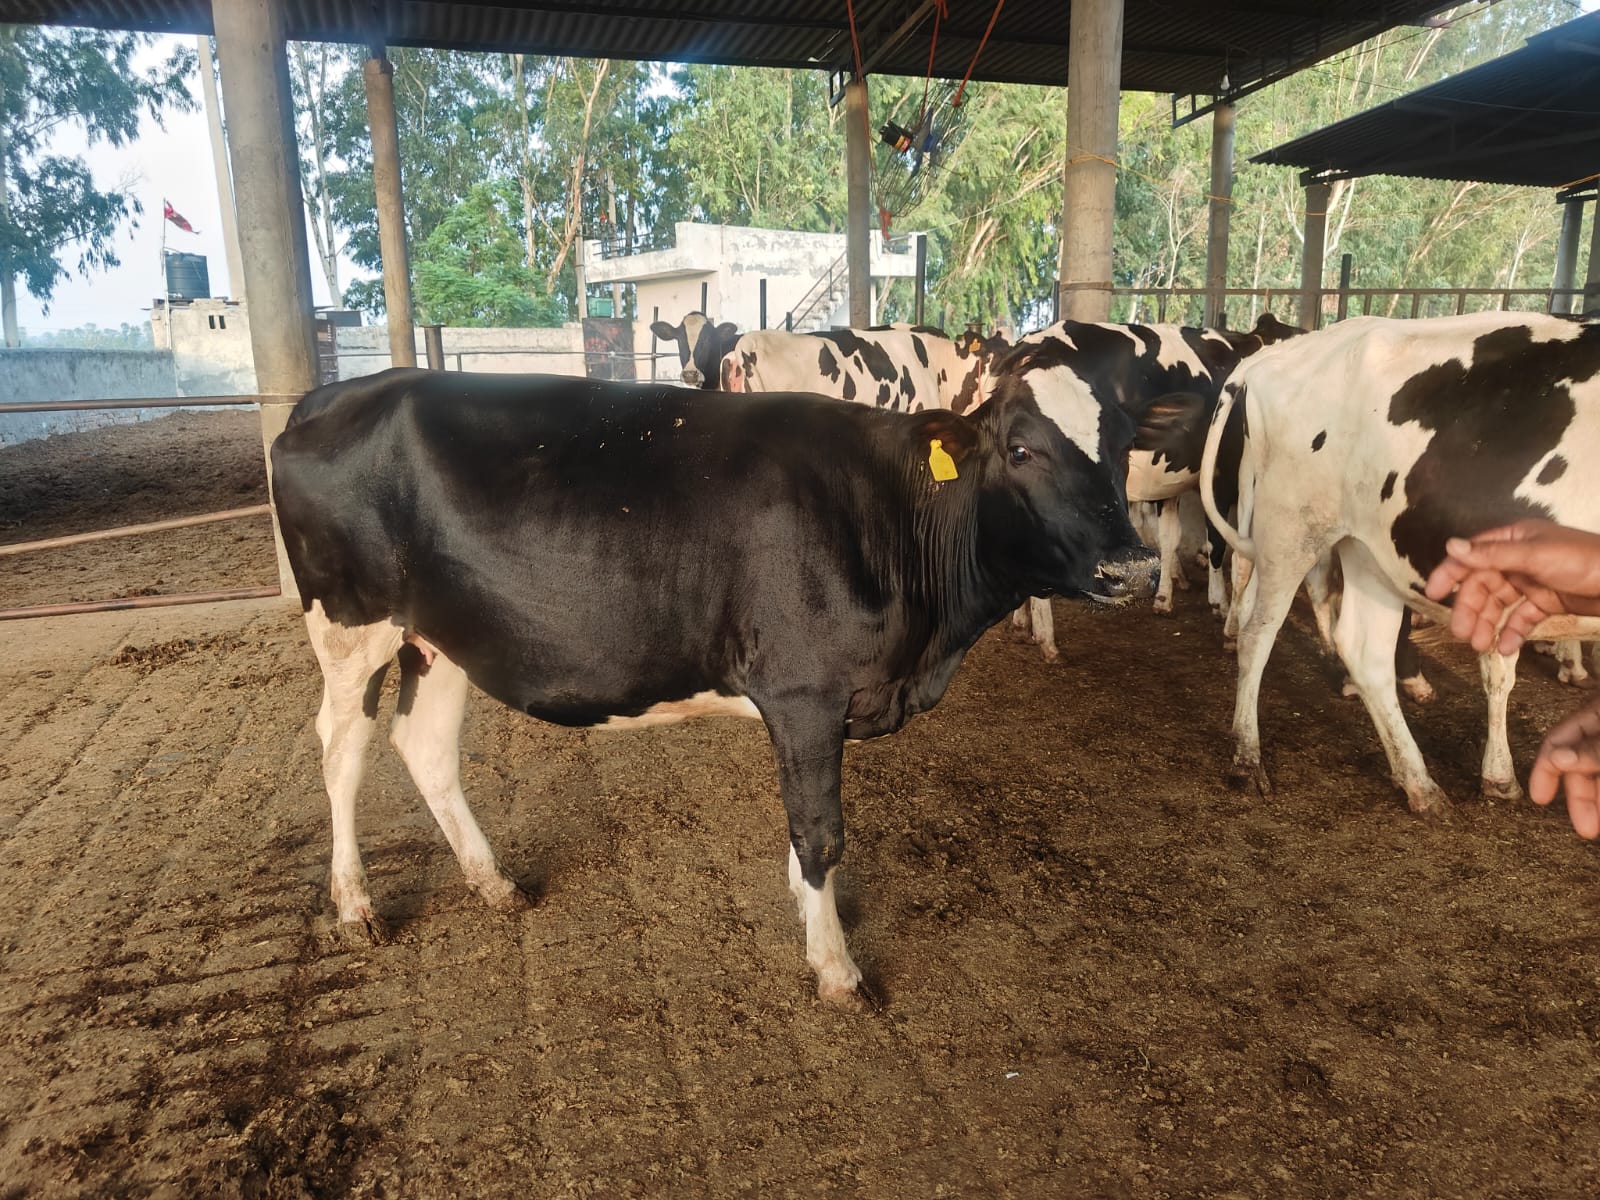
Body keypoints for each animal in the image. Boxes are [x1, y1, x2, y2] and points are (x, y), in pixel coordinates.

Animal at [269, 368, 1159, 1004]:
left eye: (1120, 449)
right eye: (1021, 450)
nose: (1134, 567)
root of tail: (337, 393)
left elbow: (804, 830)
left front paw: (809, 908)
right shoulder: (803, 691)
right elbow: (820, 832)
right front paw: (836, 968)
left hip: (441, 638)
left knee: (424, 749)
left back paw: (494, 883)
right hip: (350, 628)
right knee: (342, 752)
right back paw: (355, 906)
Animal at [997, 312, 1301, 661]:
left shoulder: (1171, 487)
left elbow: (1169, 536)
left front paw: (1165, 596)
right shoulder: (1222, 477)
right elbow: (1220, 546)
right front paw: (1222, 610)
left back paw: (1023, 624)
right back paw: (1047, 639)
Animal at [1198, 312, 1600, 816]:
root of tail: (1278, 351)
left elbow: (1497, 670)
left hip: (1368, 551)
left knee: (1364, 650)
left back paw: (1419, 782)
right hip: (1292, 531)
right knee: (1259, 630)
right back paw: (1248, 757)